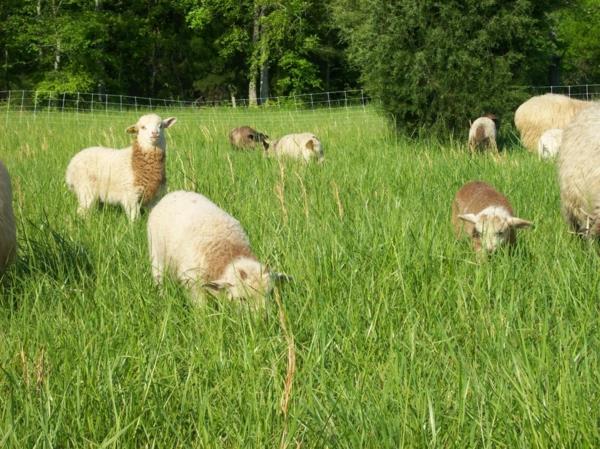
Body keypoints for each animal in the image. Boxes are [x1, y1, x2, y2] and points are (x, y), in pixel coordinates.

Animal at [145, 191, 286, 306]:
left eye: (270, 295)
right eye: (241, 299)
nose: (264, 320)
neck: (228, 250)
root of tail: (171, 194)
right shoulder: (193, 284)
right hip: (155, 253)